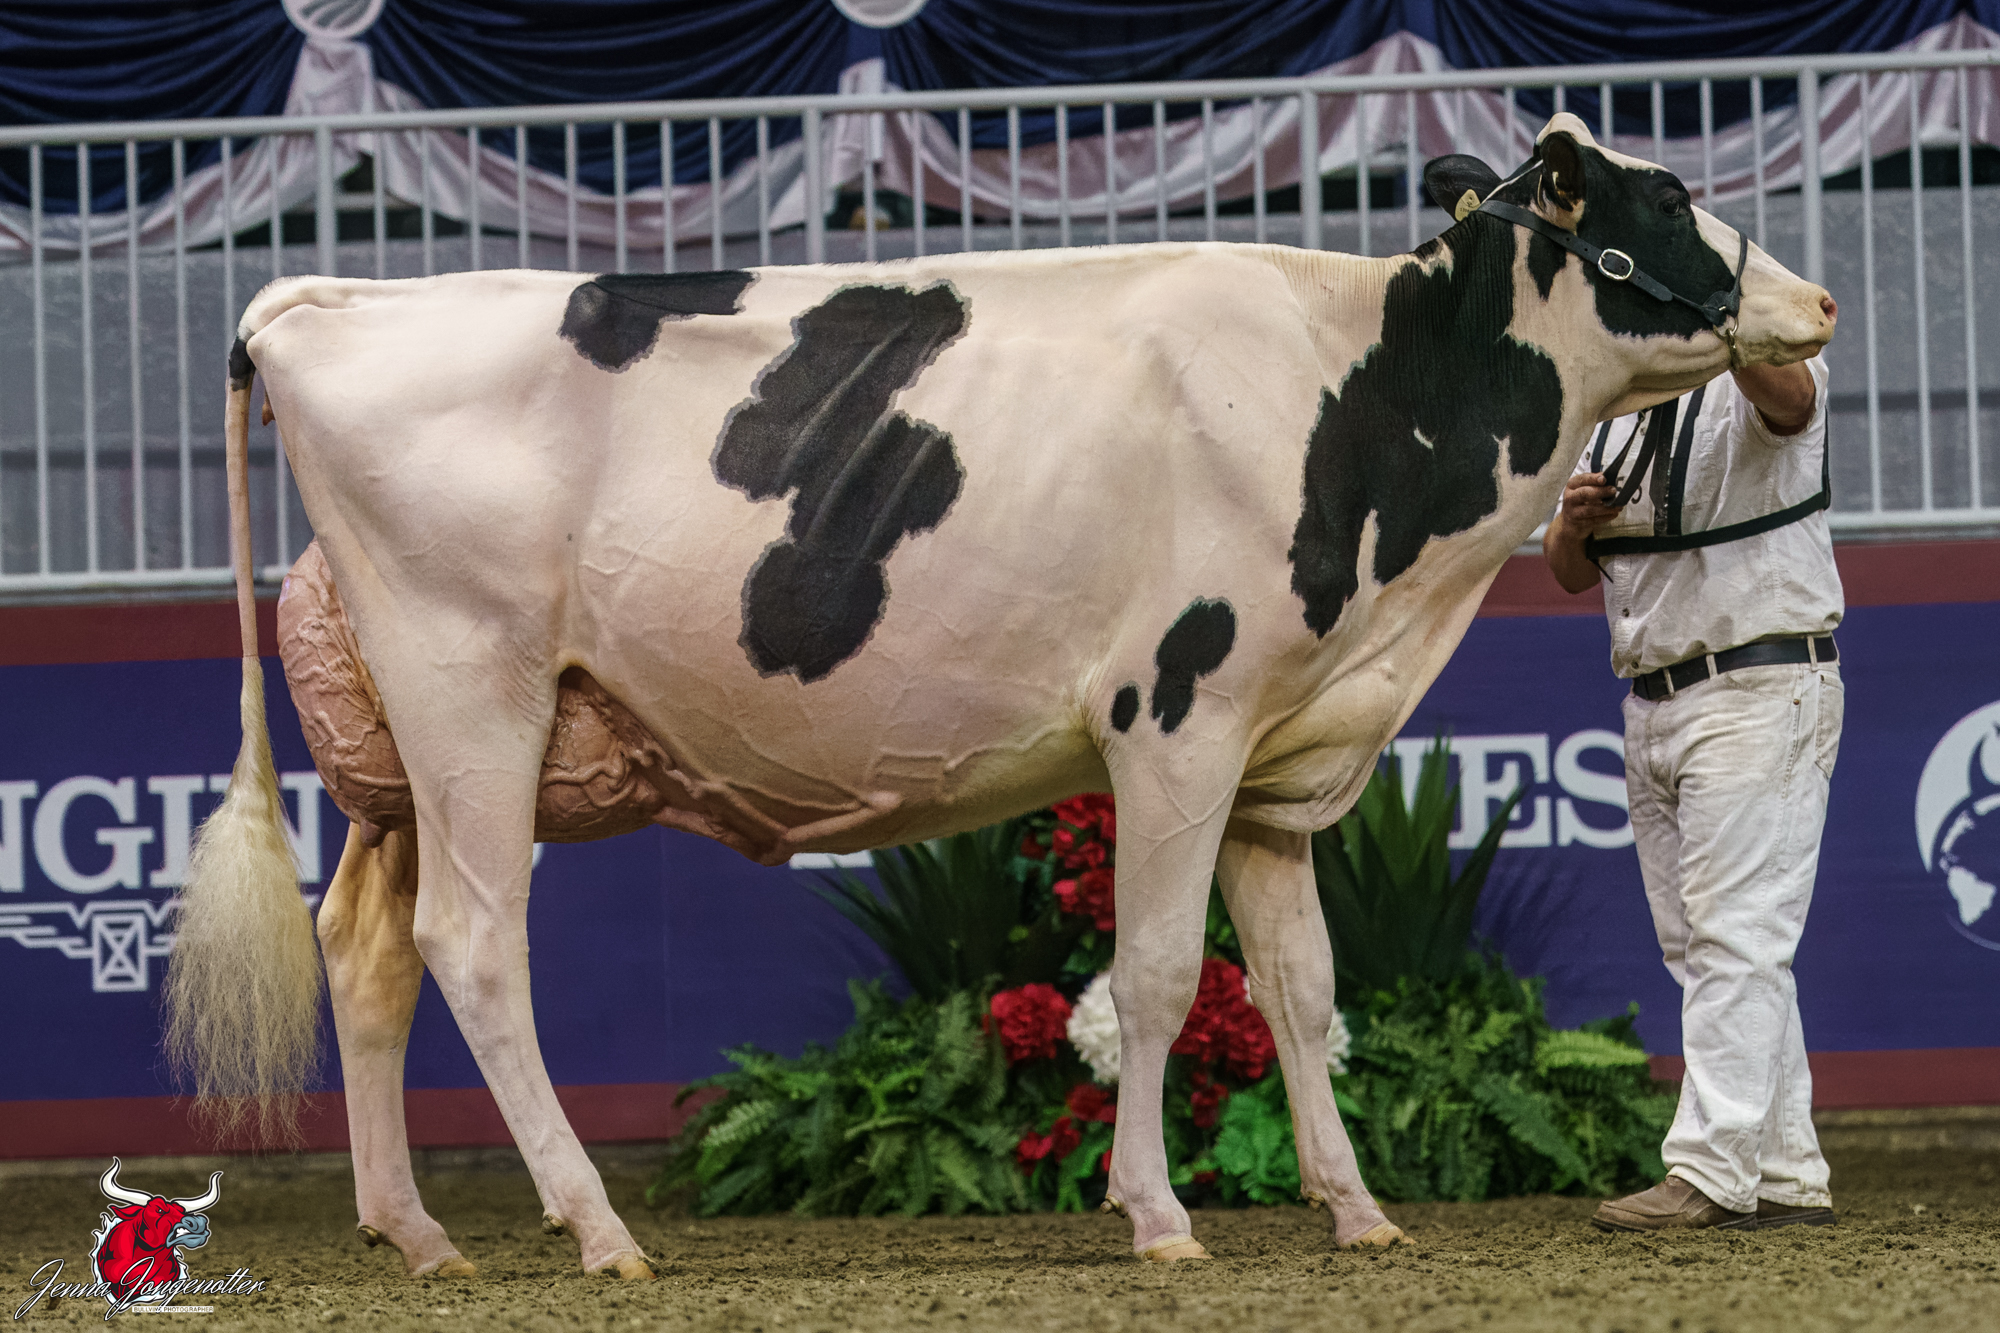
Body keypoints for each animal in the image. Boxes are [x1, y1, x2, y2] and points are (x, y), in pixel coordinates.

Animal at [163, 113, 1835, 1280]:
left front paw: (1356, 1210)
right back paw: (598, 1230)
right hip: (474, 693)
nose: (1816, 301)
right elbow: (1157, 977)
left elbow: (1301, 987)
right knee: (471, 943)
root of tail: (319, 301)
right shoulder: (1177, 715)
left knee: (368, 949)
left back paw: (416, 1233)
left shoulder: (1282, 756)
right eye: (1663, 201)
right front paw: (1159, 1214)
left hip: (399, 752)